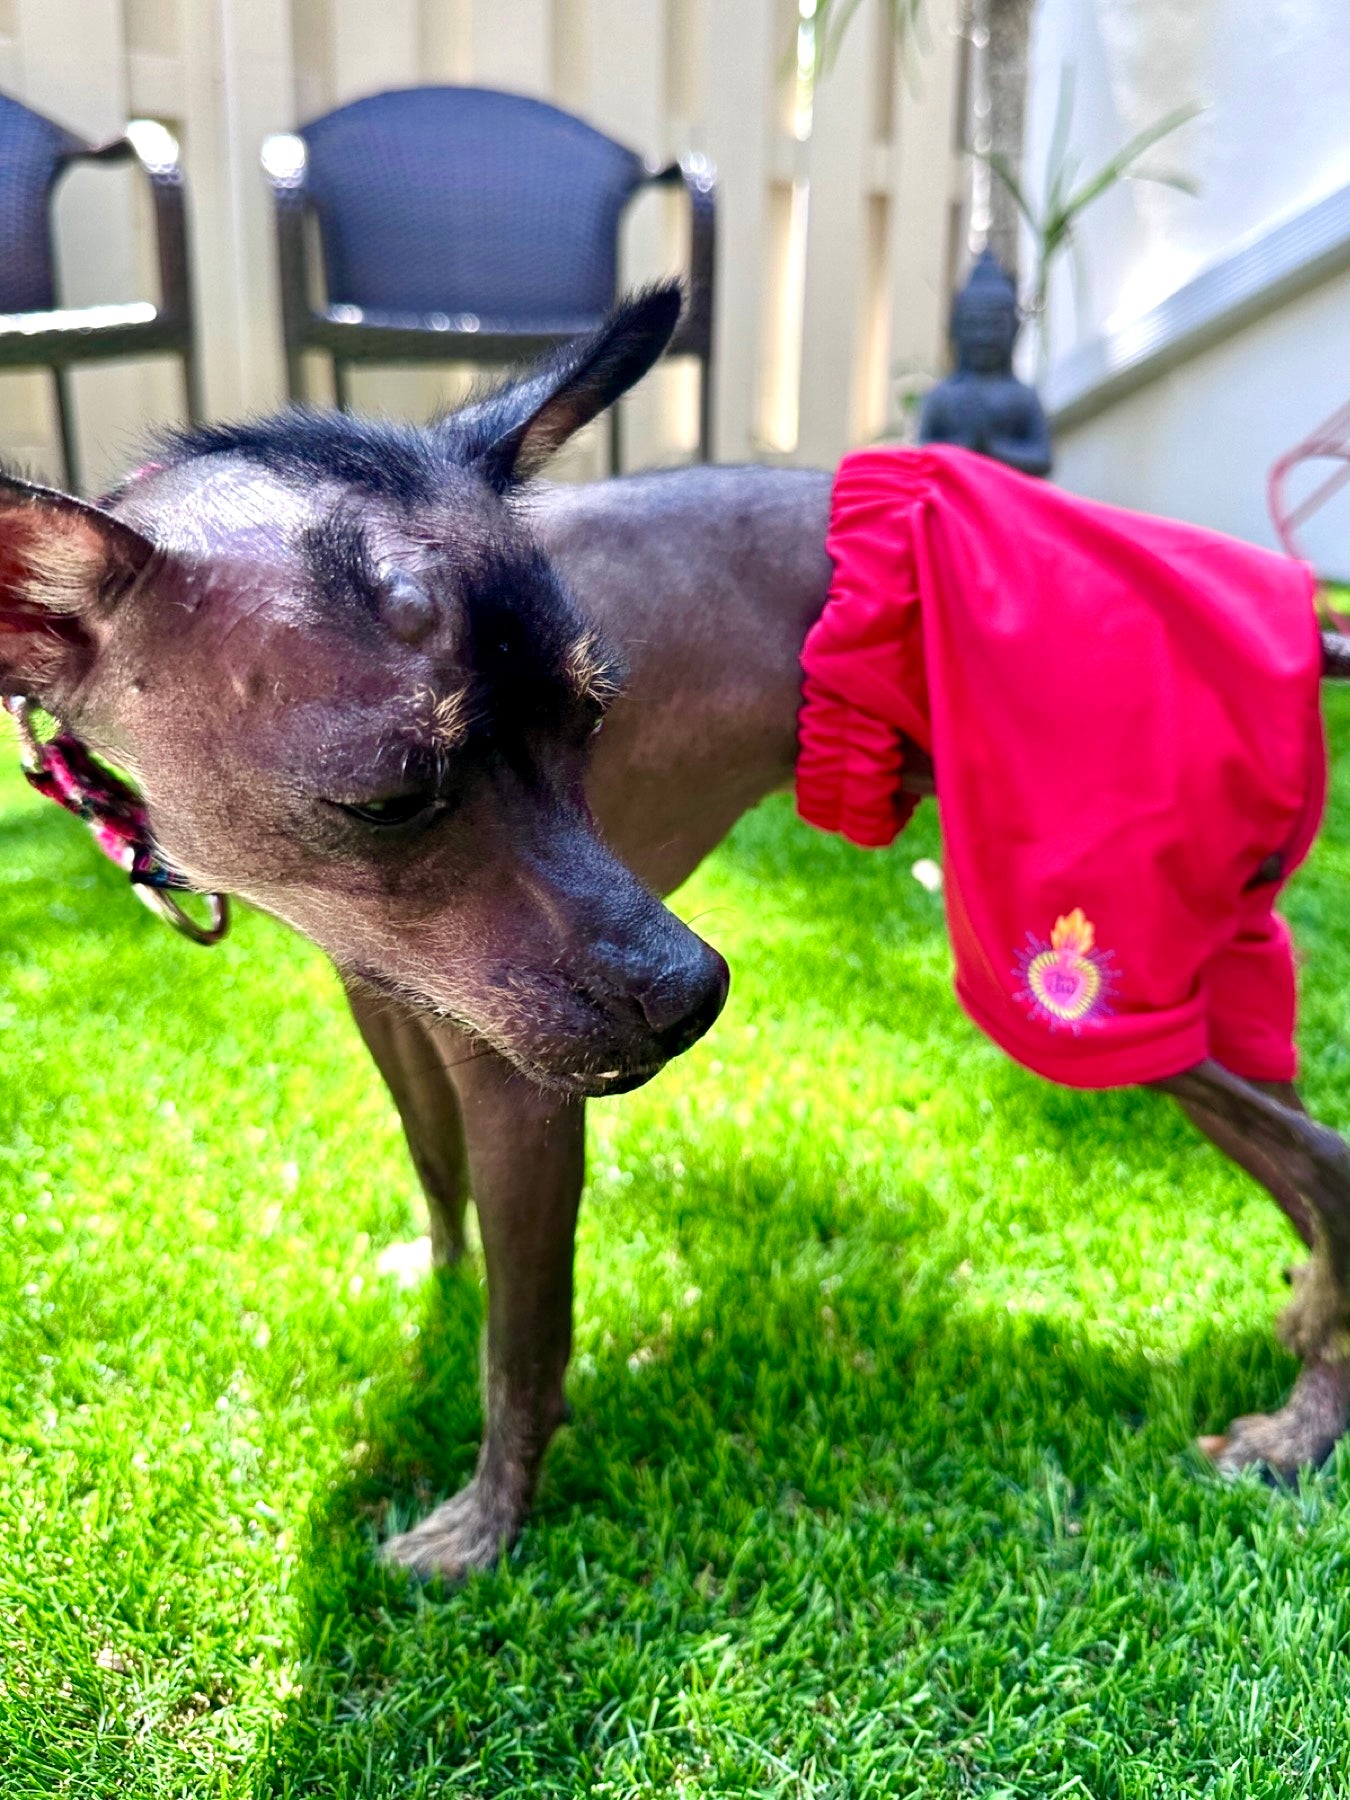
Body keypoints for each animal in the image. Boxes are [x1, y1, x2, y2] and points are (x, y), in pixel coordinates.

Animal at [2, 284, 1350, 1576]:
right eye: (387, 799)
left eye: (595, 717)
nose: (691, 996)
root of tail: (1293, 610)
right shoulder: (387, 999)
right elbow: (437, 1181)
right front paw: (434, 1291)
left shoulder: (520, 1087)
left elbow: (523, 1342)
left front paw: (486, 1528)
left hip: (1078, 974)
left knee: (1326, 1160)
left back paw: (1302, 1428)